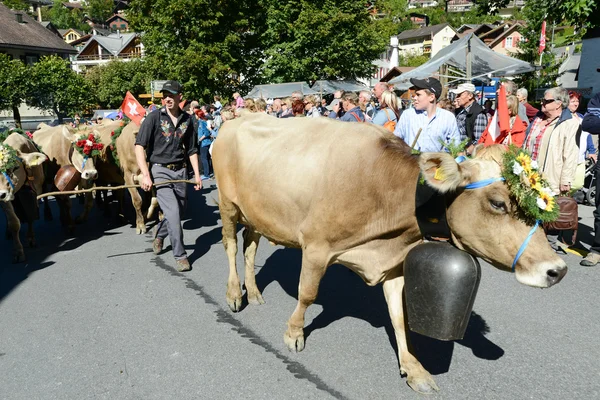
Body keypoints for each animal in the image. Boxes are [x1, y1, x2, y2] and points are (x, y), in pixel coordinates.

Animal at [0, 131, 47, 262]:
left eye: (15, 168)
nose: (1, 194)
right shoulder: (5, 198)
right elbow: (13, 222)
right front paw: (18, 251)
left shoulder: (37, 189)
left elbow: (30, 214)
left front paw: (31, 238)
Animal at [213, 112, 568, 394]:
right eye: (497, 203)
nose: (557, 269)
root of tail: (237, 118)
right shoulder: (316, 246)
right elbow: (307, 293)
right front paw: (293, 333)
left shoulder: (394, 263)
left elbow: (400, 317)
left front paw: (414, 368)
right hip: (228, 204)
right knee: (231, 246)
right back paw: (234, 294)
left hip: (258, 214)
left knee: (250, 246)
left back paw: (254, 292)